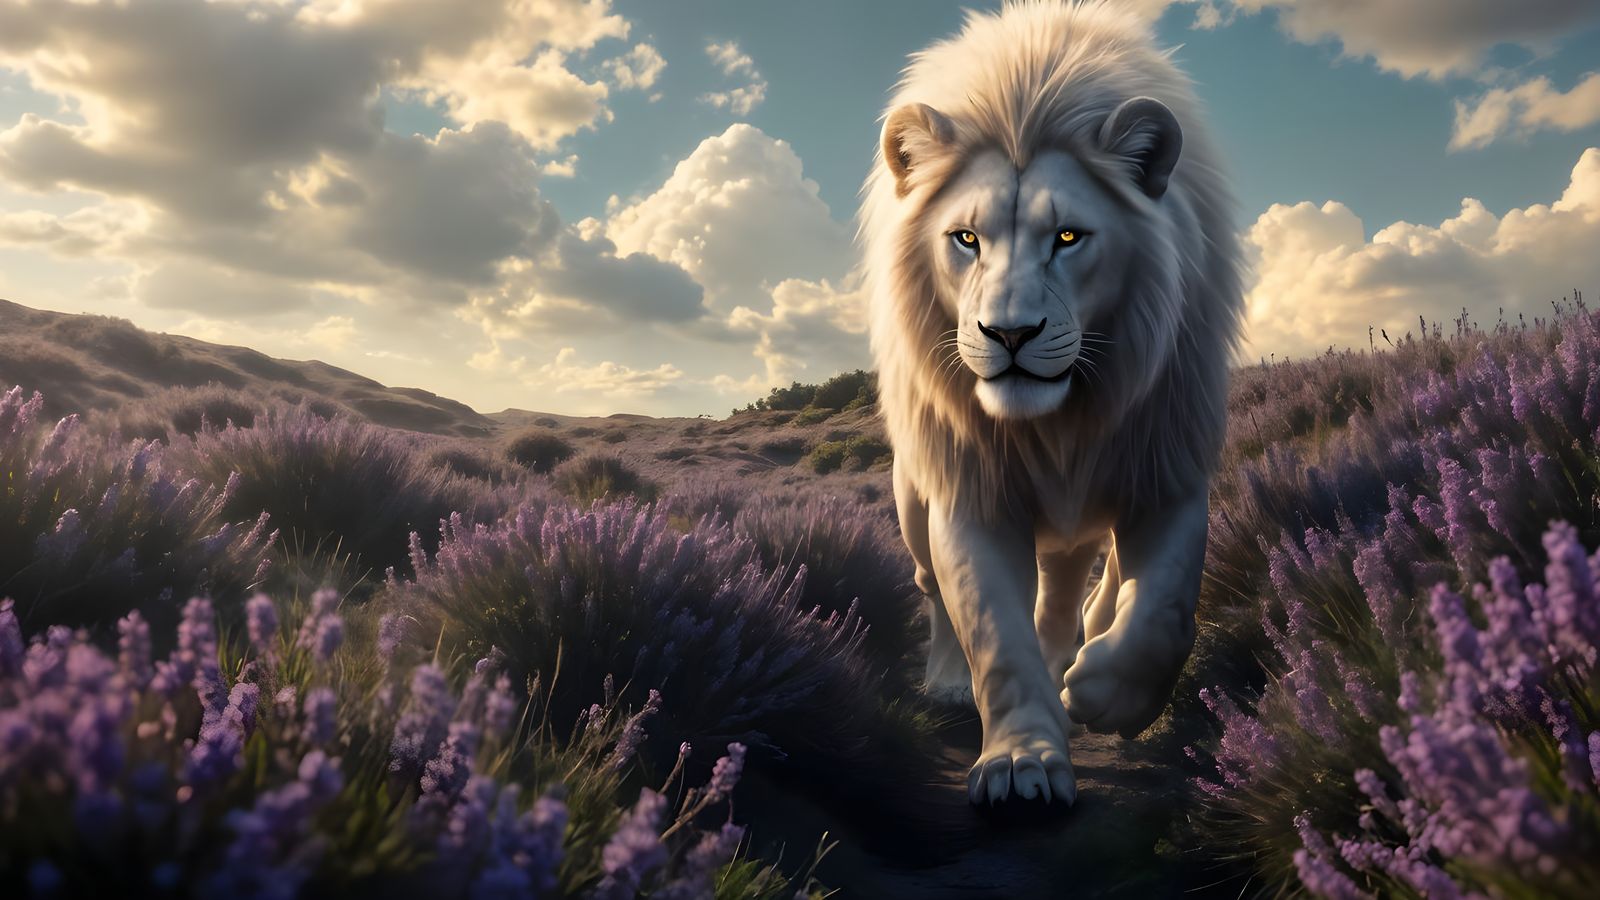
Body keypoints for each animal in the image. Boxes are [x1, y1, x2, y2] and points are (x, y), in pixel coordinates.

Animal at [860, 0, 1243, 807]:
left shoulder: (1167, 466)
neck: (1059, 424)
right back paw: (949, 680)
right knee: (932, 591)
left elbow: (1165, 611)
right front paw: (1022, 763)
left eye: (1069, 236)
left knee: (1072, 582)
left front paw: (1104, 694)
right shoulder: (970, 492)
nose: (1009, 334)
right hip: (912, 502)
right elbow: (994, 635)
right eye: (965, 238)